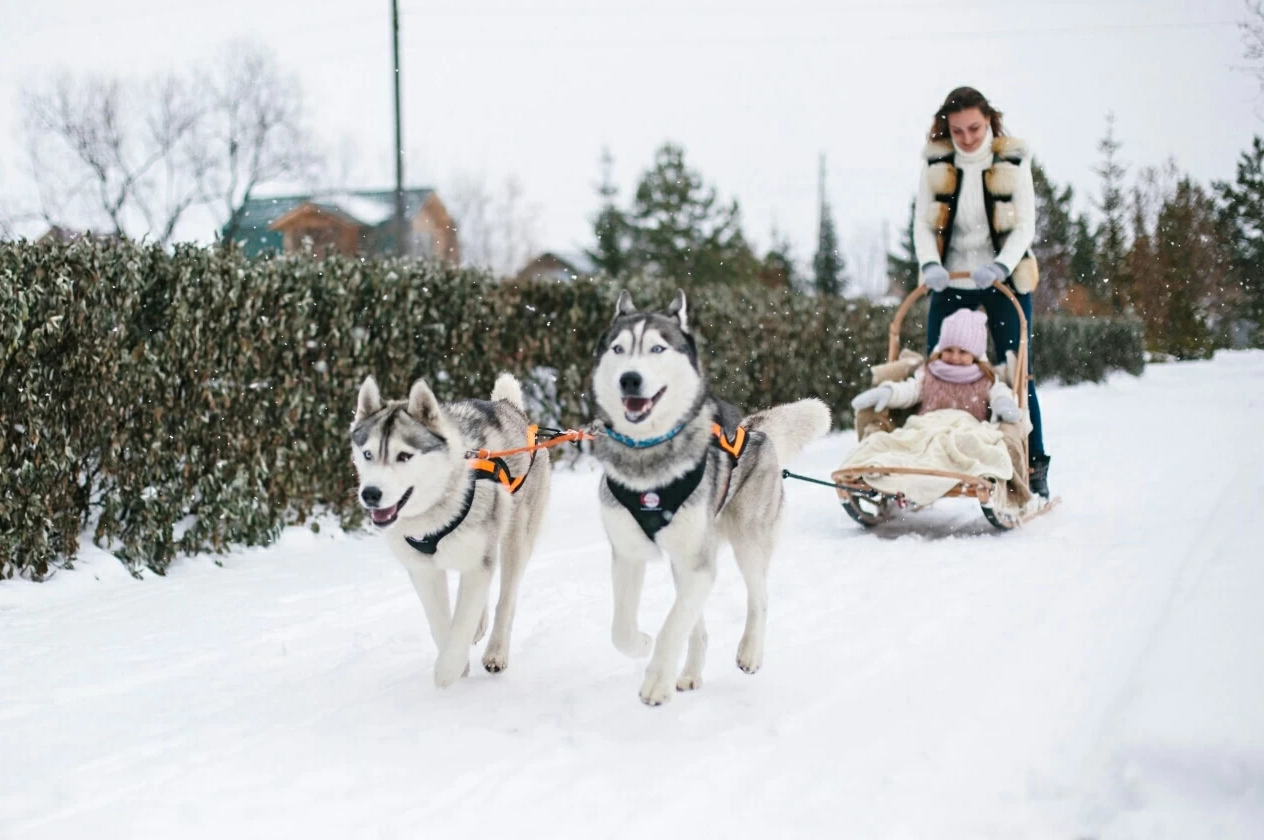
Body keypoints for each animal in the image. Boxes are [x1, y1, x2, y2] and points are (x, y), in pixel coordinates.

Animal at [351, 373, 548, 687]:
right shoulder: (423, 570)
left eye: (404, 456)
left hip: (516, 541)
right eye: (368, 454)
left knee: (506, 599)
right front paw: (458, 663)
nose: (370, 493)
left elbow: (462, 621)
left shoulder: (478, 561)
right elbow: (441, 622)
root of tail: (508, 406)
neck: (434, 514)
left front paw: (448, 670)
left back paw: (496, 652)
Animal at [591, 291, 829, 702]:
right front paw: (642, 644)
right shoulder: (627, 553)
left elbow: (672, 627)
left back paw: (750, 651)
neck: (648, 459)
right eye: (618, 349)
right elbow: (621, 629)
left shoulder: (700, 565)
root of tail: (754, 430)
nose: (629, 379)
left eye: (657, 348)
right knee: (697, 627)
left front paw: (656, 681)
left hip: (747, 541)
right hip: (685, 560)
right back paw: (688, 673)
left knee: (759, 598)